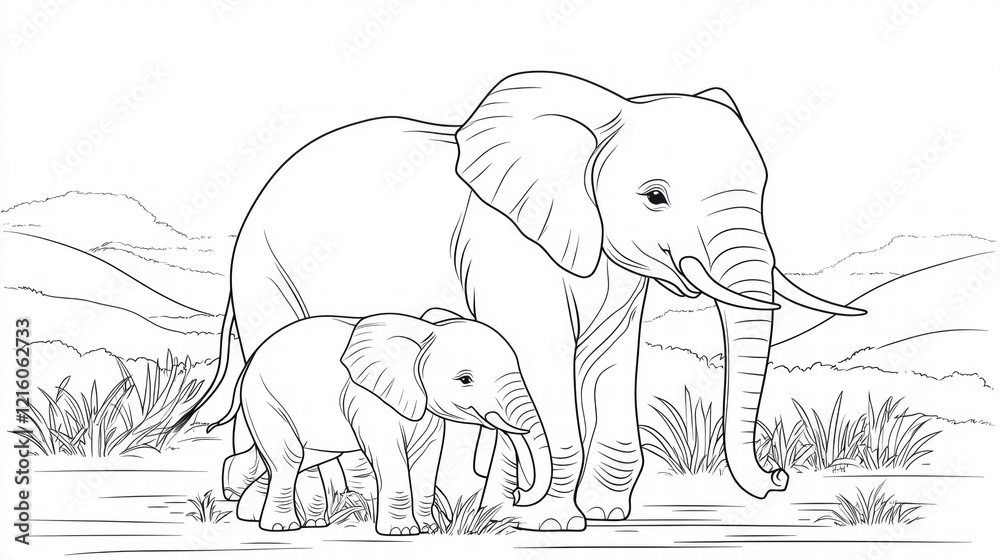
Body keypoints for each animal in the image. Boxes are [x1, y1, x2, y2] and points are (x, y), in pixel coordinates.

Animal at [211, 311, 547, 534]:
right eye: (465, 380)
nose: (520, 494)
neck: (423, 332)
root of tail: (248, 363)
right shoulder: (367, 399)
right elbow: (389, 455)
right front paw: (402, 533)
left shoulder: (427, 412)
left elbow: (428, 459)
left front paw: (428, 529)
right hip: (265, 400)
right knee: (288, 458)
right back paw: (282, 526)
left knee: (304, 461)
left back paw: (302, 522)